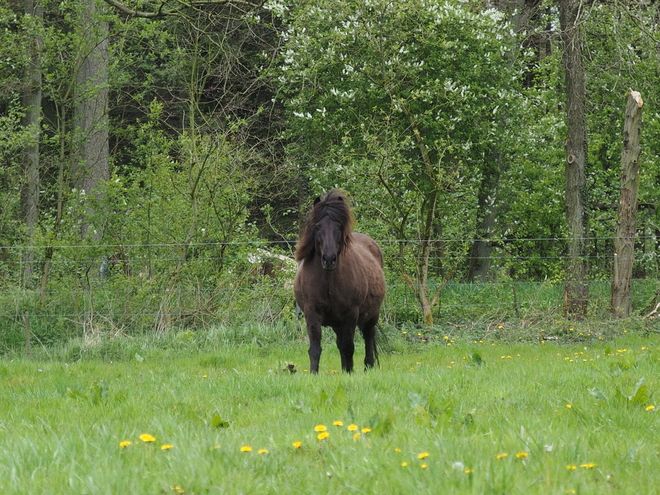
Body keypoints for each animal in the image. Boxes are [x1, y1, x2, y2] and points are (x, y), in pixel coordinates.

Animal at [296, 190, 386, 372]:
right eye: (318, 227)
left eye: (338, 226)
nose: (329, 259)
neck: (328, 281)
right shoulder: (312, 313)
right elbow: (315, 349)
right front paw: (314, 373)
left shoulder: (350, 314)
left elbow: (348, 347)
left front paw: (349, 372)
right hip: (337, 323)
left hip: (371, 315)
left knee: (368, 337)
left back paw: (368, 366)